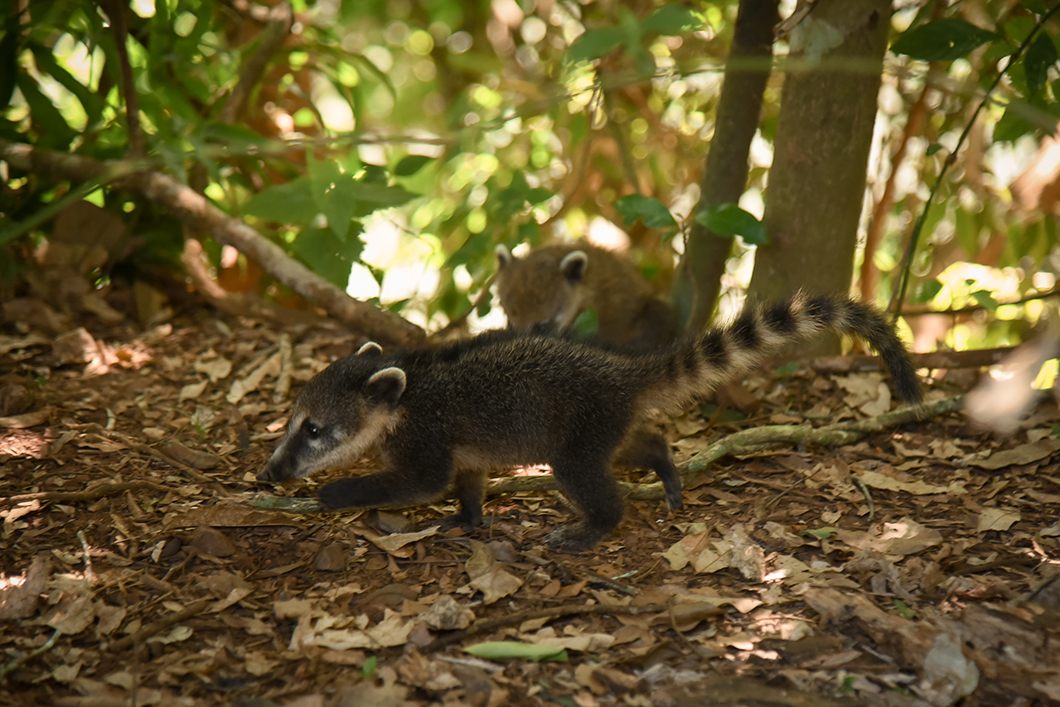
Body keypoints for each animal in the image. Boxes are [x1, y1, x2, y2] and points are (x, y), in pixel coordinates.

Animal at [258, 292, 922, 552]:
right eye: (293, 421)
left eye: (313, 430)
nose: (269, 476)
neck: (401, 388)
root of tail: (620, 371)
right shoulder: (457, 445)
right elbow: (465, 480)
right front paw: (468, 516)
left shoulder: (427, 434)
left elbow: (421, 482)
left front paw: (342, 492)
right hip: (604, 423)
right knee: (633, 445)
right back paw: (661, 461)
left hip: (580, 427)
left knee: (583, 476)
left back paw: (597, 524)